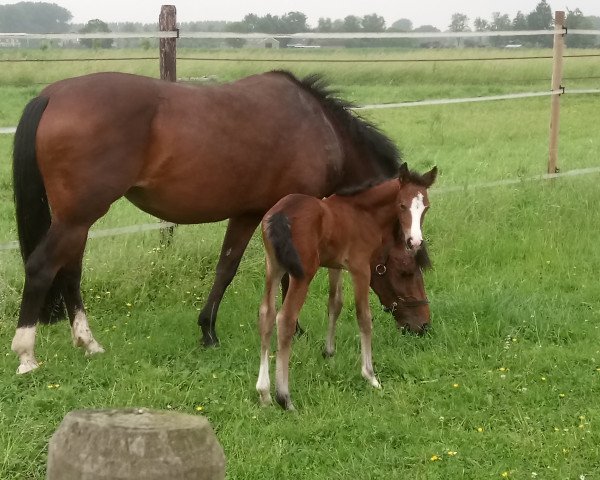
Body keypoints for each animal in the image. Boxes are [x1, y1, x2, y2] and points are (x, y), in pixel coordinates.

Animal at [8, 70, 404, 376]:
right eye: (403, 266)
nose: (414, 327)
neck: (319, 125)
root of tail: (51, 95)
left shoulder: (247, 213)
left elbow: (226, 267)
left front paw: (208, 330)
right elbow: (287, 273)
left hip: (77, 221)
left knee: (70, 272)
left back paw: (88, 343)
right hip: (77, 218)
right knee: (42, 266)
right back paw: (26, 355)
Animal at [256, 162, 436, 408]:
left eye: (426, 207)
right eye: (402, 205)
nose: (415, 241)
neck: (363, 213)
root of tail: (280, 215)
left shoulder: (335, 265)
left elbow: (335, 303)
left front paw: (329, 352)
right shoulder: (360, 268)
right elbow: (364, 318)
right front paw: (370, 376)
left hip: (272, 268)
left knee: (266, 314)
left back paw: (264, 393)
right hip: (303, 273)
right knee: (285, 319)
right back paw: (284, 397)